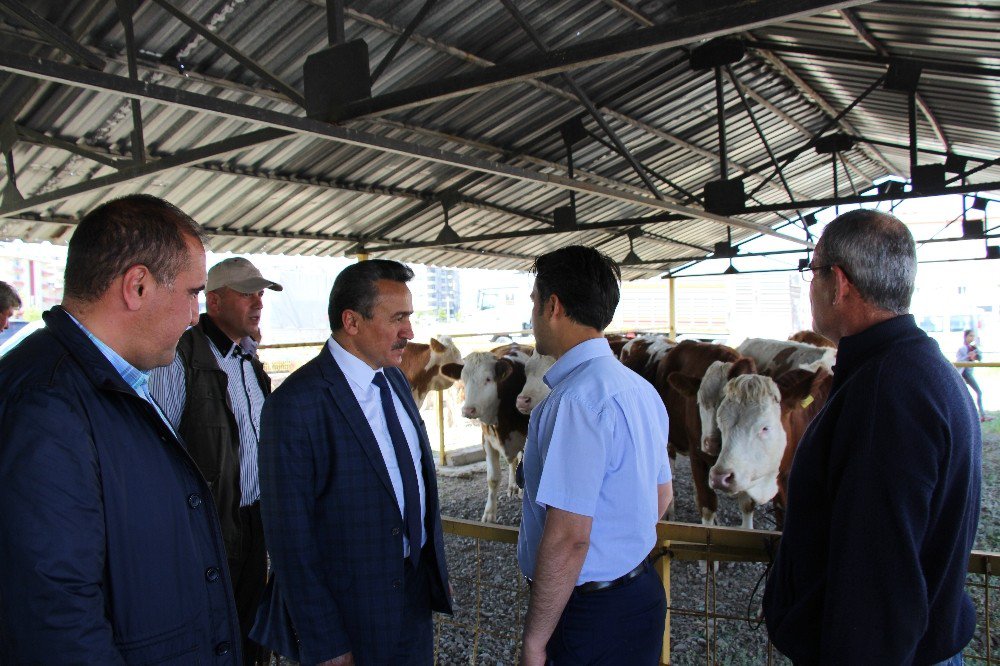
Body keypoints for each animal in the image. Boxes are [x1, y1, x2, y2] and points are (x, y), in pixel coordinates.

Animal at [440, 344, 532, 520]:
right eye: (463, 379)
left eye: (488, 379)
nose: (468, 410)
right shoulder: (487, 440)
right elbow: (493, 478)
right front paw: (489, 514)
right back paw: (512, 487)